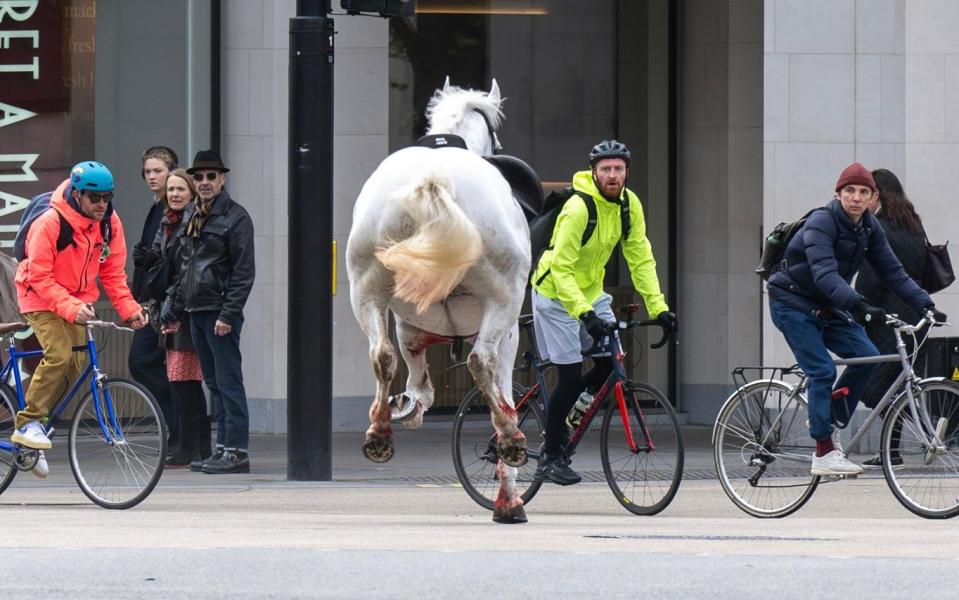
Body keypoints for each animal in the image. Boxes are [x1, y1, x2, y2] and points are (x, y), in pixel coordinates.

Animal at [346, 81, 532, 524]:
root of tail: (434, 179)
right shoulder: (511, 332)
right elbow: (500, 386)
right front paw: (509, 497)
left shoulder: (409, 325)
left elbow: (412, 372)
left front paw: (409, 404)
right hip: (502, 297)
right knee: (481, 361)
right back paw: (512, 438)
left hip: (366, 288)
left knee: (381, 354)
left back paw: (380, 430)